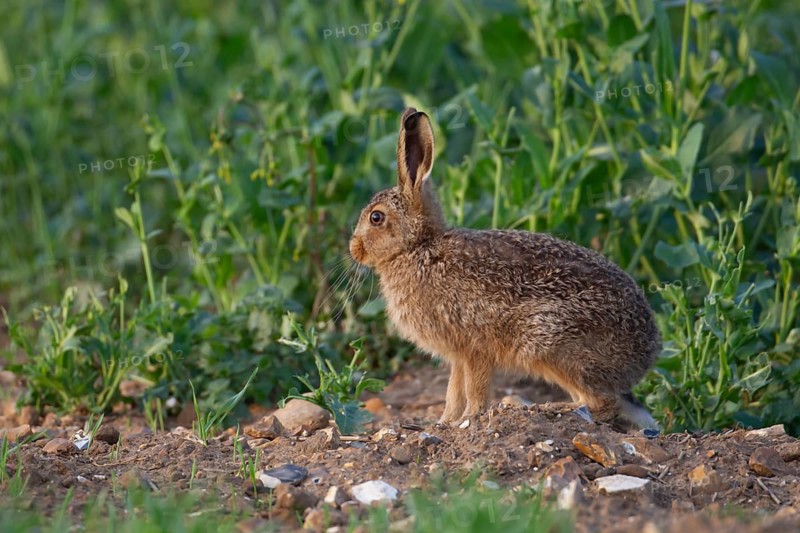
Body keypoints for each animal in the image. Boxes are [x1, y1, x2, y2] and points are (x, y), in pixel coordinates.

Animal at [349, 107, 661, 429]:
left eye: (376, 217)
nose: (354, 249)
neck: (418, 247)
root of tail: (645, 356)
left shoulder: (475, 347)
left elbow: (474, 389)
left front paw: (470, 419)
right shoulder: (458, 355)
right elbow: (453, 390)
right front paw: (445, 422)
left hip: (550, 343)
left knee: (602, 404)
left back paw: (548, 408)